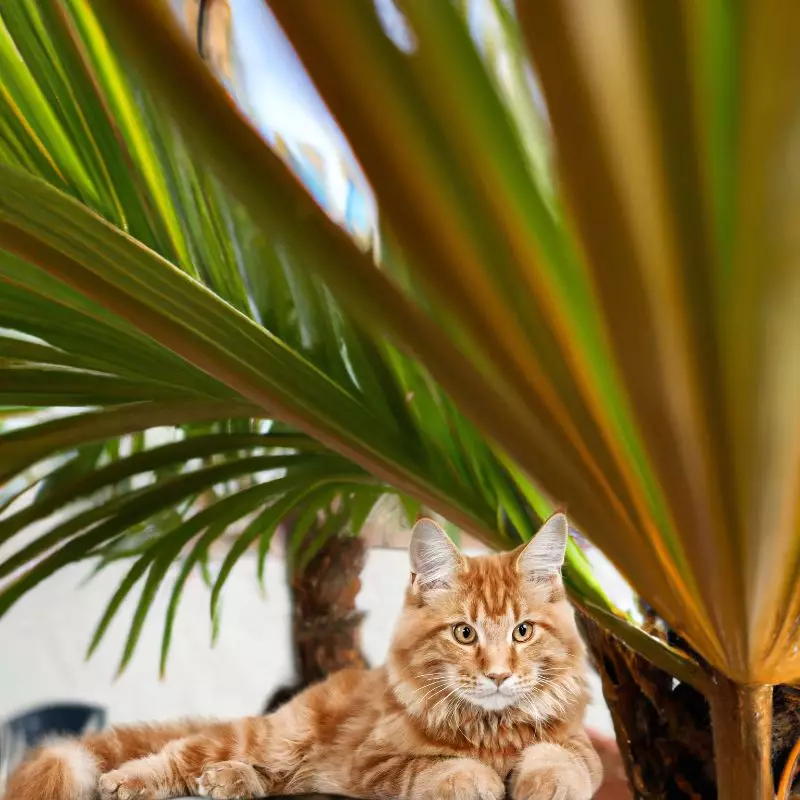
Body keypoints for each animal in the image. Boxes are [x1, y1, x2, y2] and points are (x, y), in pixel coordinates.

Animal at [4, 516, 600, 796]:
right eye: (464, 634)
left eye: (522, 632)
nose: (498, 675)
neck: (489, 731)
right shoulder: (376, 762)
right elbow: (442, 769)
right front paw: (476, 779)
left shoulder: (577, 745)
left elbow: (560, 760)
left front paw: (544, 783)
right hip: (273, 735)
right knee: (179, 753)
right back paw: (128, 781)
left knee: (274, 778)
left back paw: (228, 781)